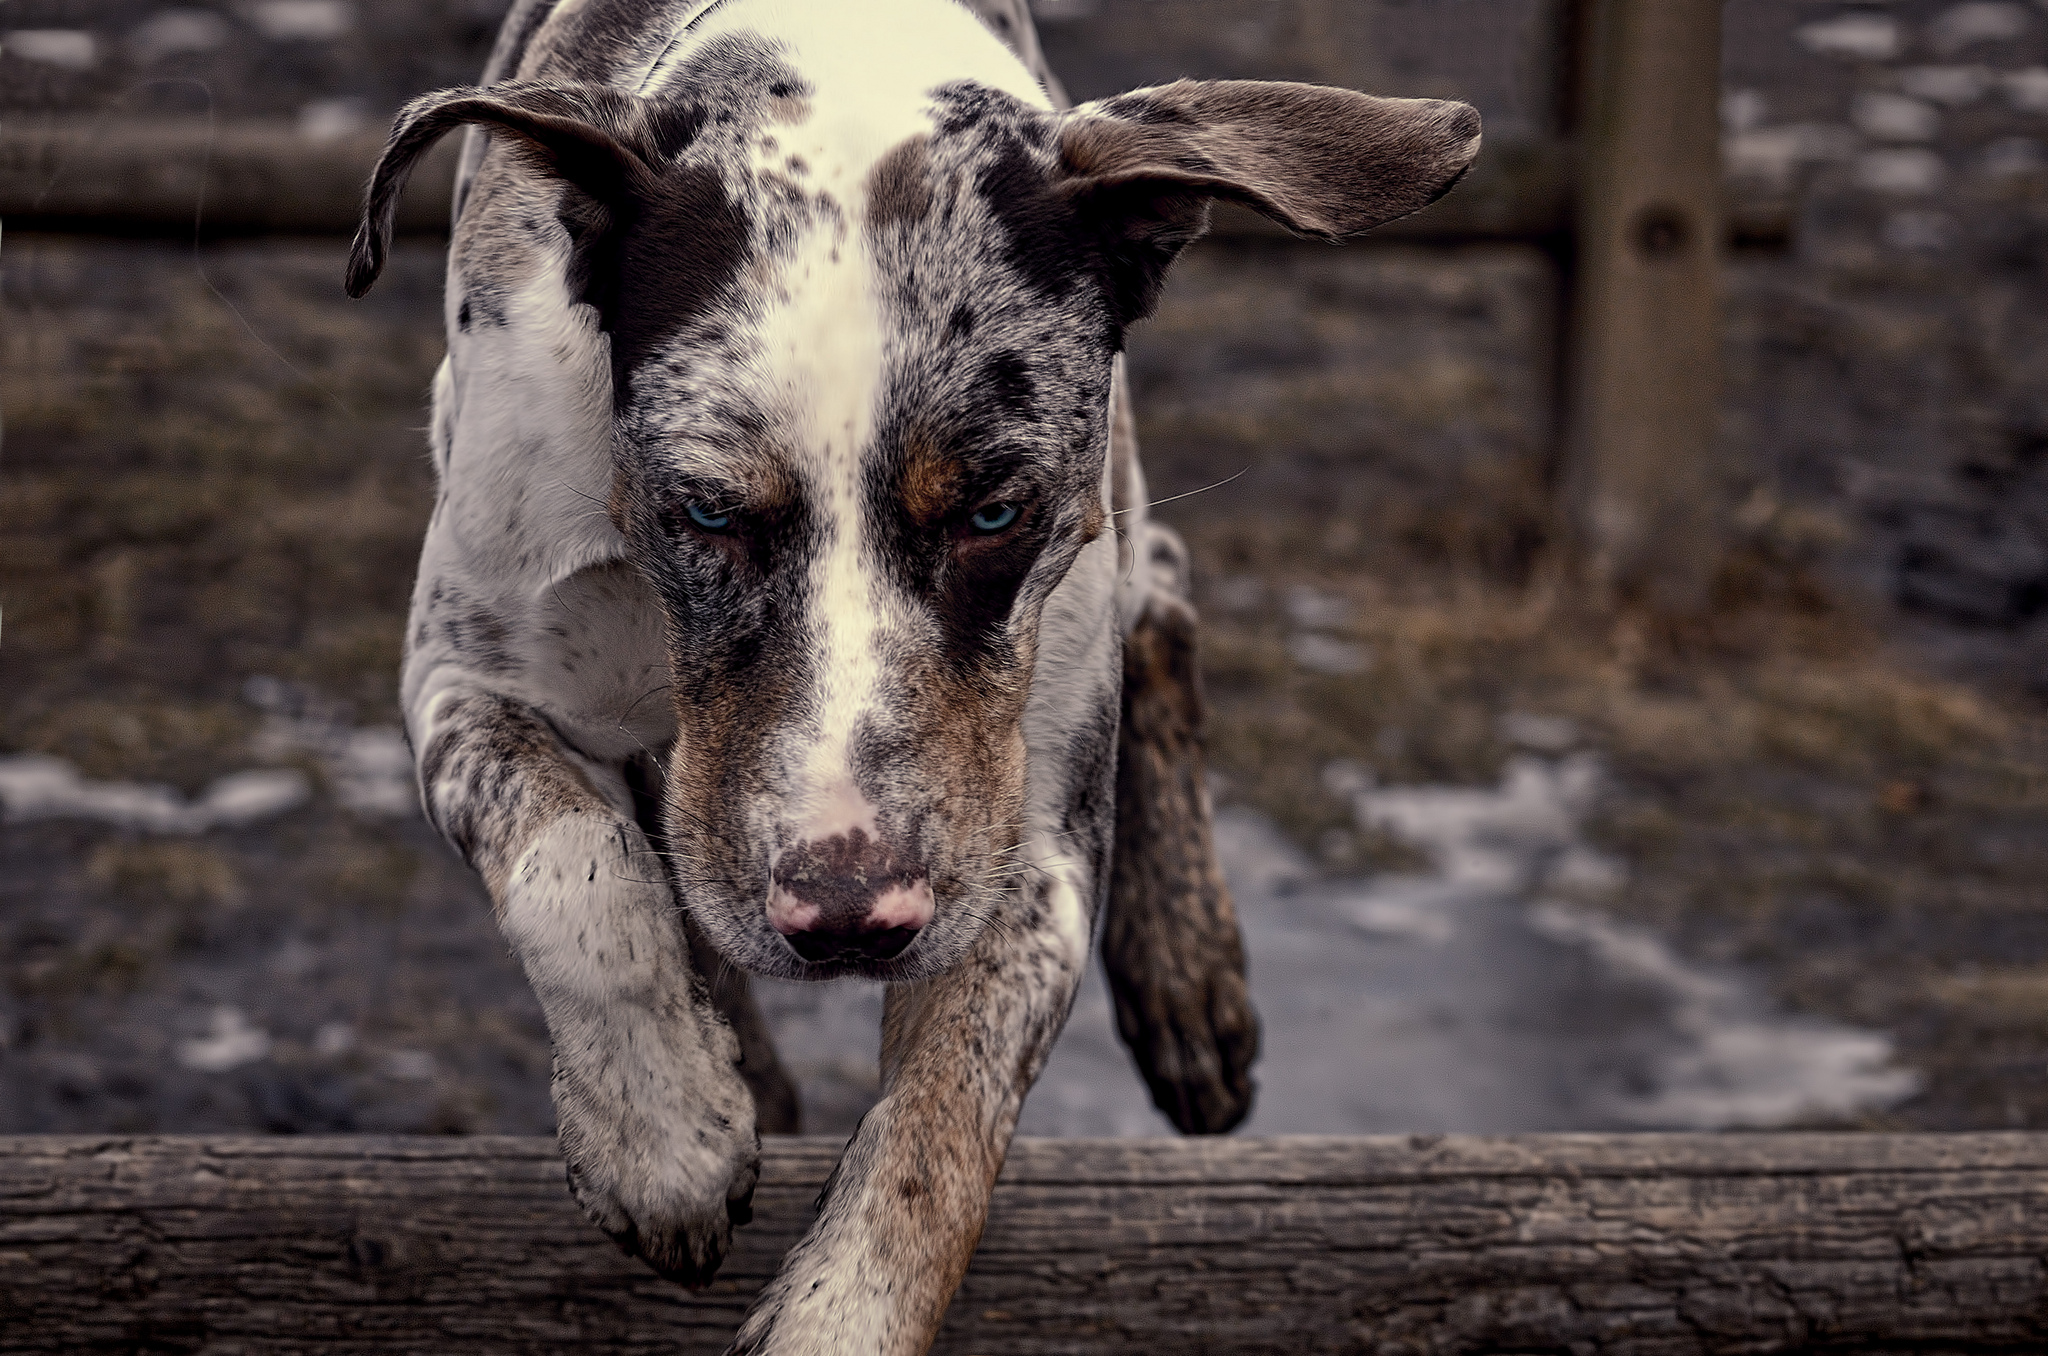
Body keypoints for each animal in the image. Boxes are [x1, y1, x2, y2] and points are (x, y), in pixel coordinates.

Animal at [348, 2, 1474, 1351]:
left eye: (993, 509)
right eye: (703, 508)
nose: (845, 916)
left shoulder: (1021, 840)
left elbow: (939, 1134)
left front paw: (833, 1293)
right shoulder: (465, 672)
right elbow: (579, 872)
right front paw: (662, 1132)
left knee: (1158, 582)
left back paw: (1189, 983)